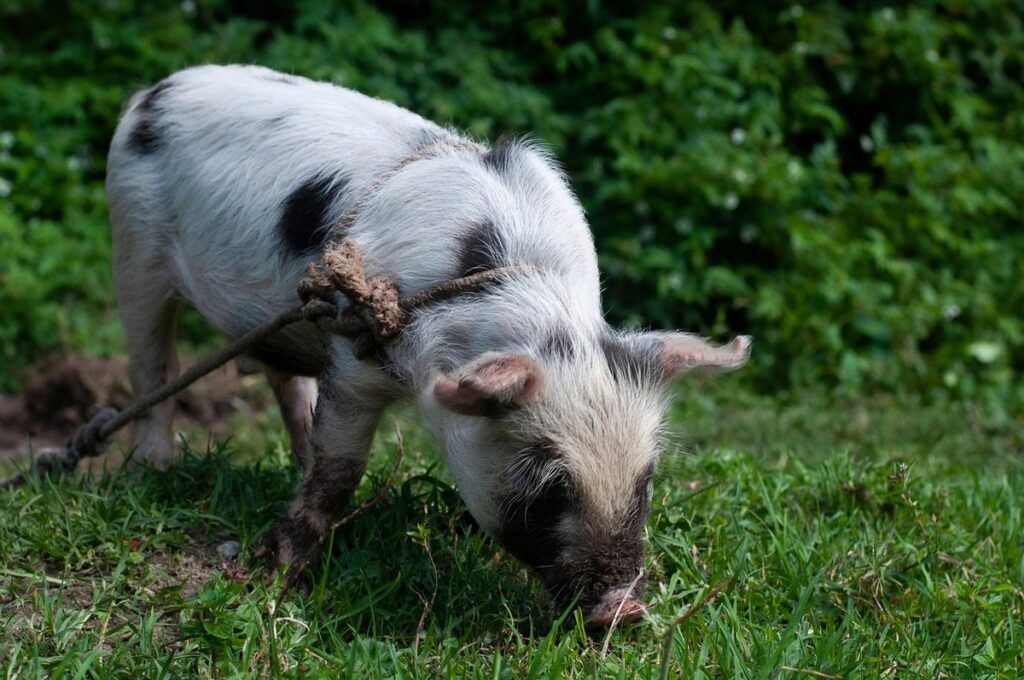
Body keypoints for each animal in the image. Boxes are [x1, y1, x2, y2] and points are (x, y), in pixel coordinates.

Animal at [105, 64, 750, 629]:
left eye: (647, 480)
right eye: (548, 489)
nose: (625, 610)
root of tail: (153, 91)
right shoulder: (354, 354)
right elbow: (340, 467)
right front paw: (282, 571)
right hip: (133, 241)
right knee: (153, 364)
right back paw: (155, 469)